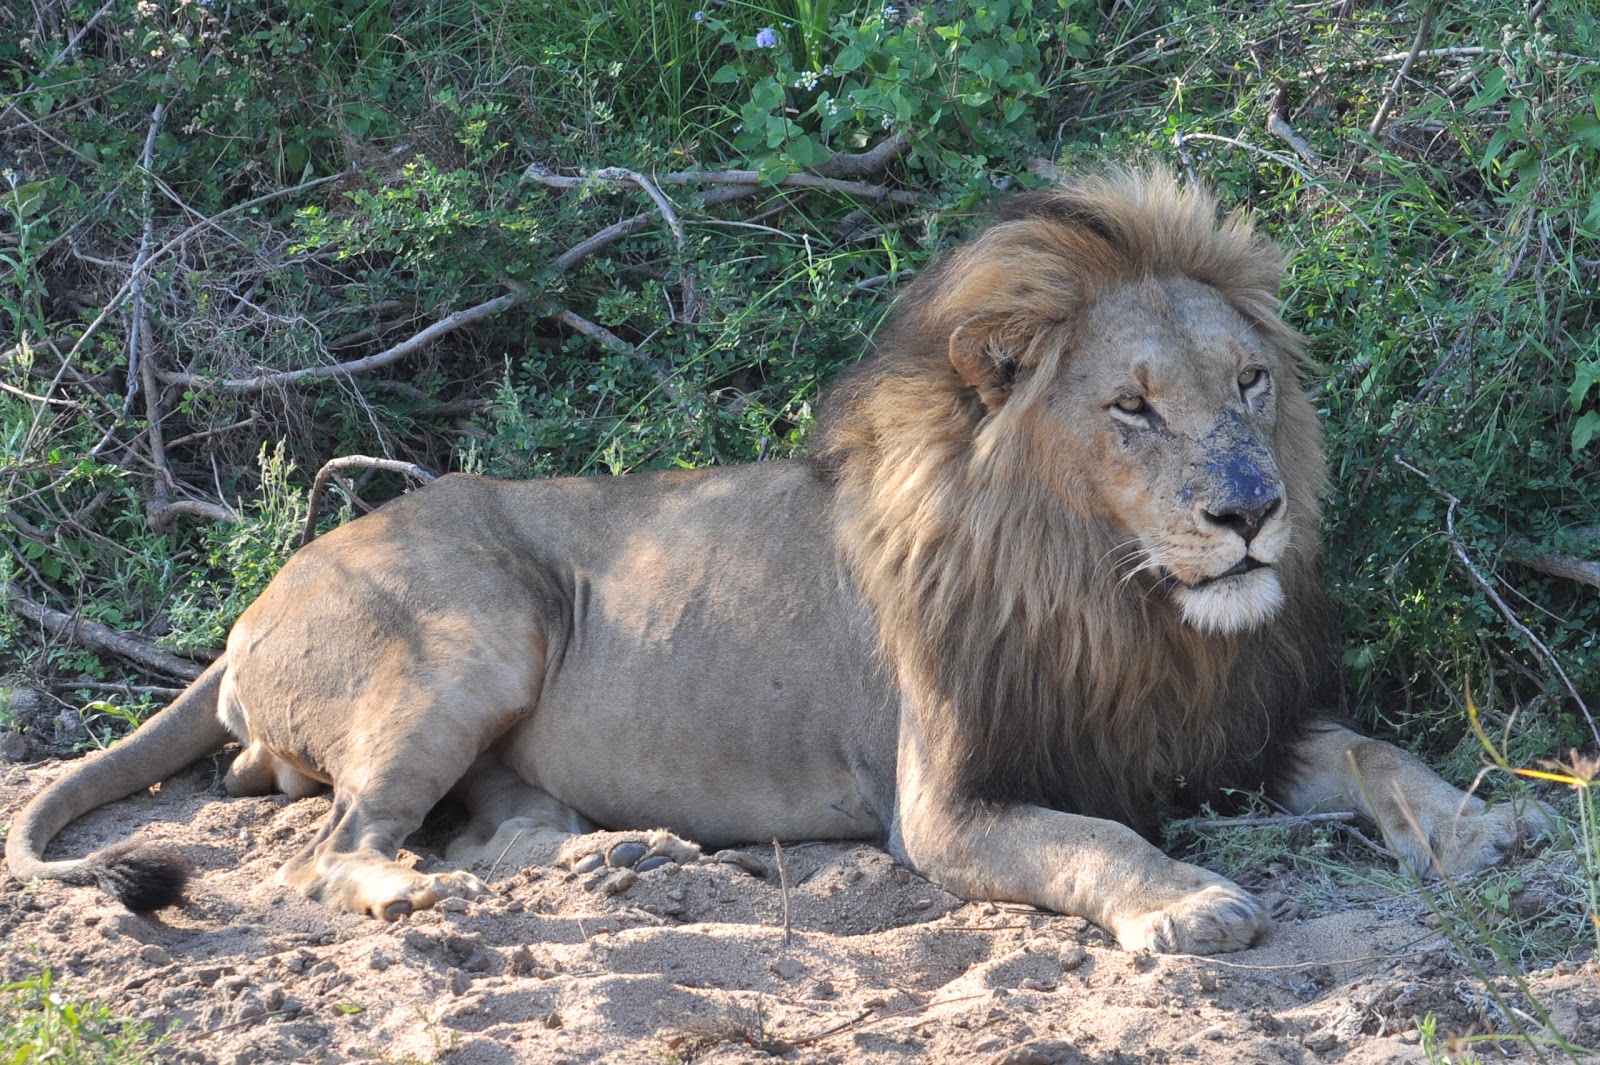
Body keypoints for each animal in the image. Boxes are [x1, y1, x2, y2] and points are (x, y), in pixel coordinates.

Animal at [7, 169, 1547, 954]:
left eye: (1247, 384)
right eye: (1132, 407)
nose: (1253, 511)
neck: (1118, 602)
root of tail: (250, 607)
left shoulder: (1222, 728)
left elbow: (1371, 748)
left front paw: (1483, 826)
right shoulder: (951, 806)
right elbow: (1094, 840)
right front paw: (1189, 902)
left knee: (472, 821)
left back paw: (596, 850)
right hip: (472, 629)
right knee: (337, 849)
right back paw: (417, 899)